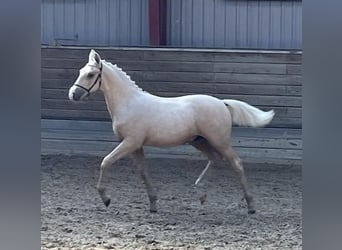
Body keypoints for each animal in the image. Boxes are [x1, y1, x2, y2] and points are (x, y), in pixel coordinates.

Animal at [69, 49, 276, 215]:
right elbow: (143, 172)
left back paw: (250, 206)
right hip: (199, 141)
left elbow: (106, 162)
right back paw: (201, 194)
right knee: (215, 160)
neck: (128, 103)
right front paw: (153, 204)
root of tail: (222, 103)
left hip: (220, 141)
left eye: (91, 74)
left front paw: (106, 199)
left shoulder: (130, 142)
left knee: (236, 164)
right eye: (80, 72)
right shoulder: (136, 146)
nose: (73, 95)